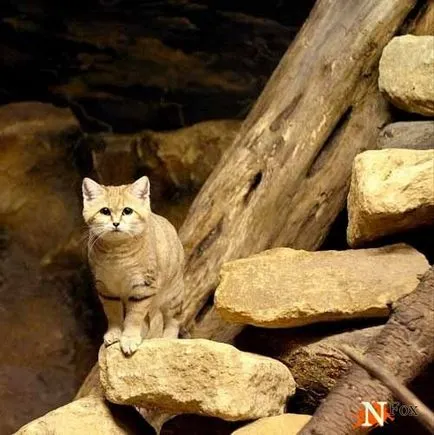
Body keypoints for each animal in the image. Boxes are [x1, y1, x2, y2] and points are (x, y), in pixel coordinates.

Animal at [82, 175, 184, 356]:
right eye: (105, 211)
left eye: (127, 211)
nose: (116, 223)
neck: (116, 254)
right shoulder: (106, 288)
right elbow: (113, 313)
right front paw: (114, 333)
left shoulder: (143, 287)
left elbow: (133, 316)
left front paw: (129, 338)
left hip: (173, 295)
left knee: (173, 319)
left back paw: (168, 338)